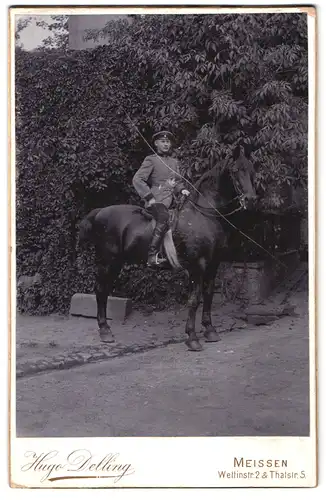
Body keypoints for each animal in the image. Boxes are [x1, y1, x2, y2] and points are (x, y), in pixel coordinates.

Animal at [79, 152, 258, 352]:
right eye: (235, 171)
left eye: (251, 170)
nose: (251, 199)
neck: (203, 215)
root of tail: (100, 211)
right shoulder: (197, 266)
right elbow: (194, 299)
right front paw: (192, 337)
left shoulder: (213, 264)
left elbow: (209, 295)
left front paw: (210, 330)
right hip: (107, 262)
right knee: (101, 290)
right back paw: (104, 330)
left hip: (114, 263)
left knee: (104, 290)